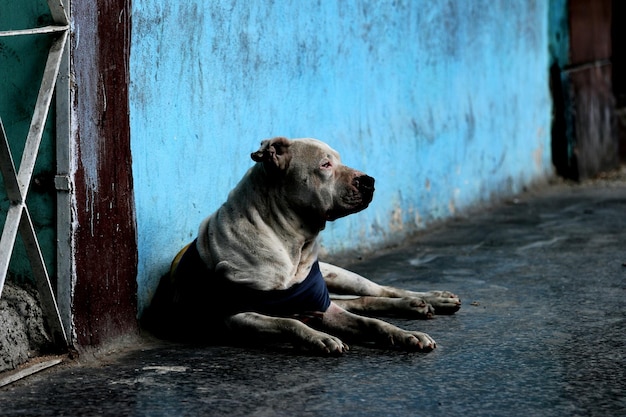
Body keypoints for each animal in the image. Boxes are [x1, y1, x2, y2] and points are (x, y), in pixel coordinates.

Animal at [145, 138, 458, 352]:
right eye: (325, 165)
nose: (369, 181)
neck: (291, 243)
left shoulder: (325, 308)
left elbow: (372, 323)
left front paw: (406, 335)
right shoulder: (237, 316)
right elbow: (288, 322)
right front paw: (320, 338)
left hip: (338, 275)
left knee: (377, 290)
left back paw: (429, 298)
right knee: (362, 301)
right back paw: (417, 305)